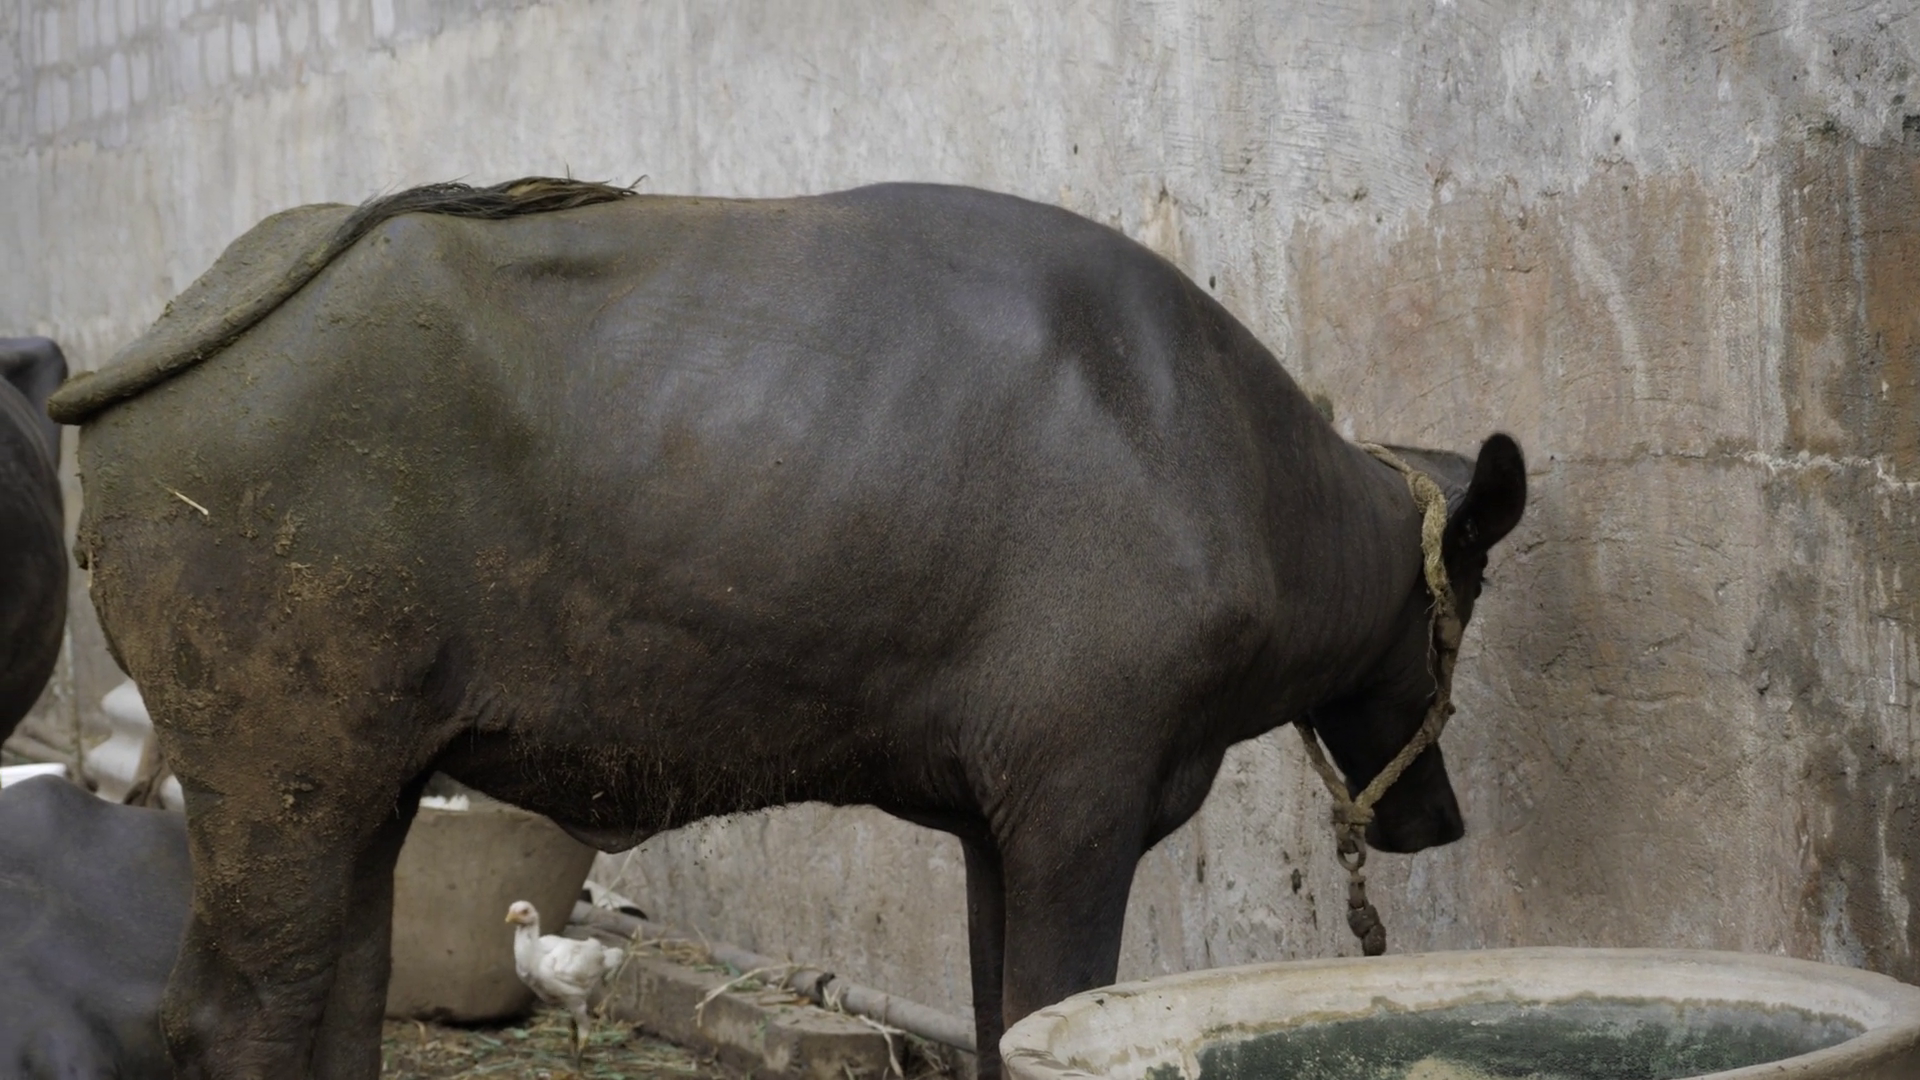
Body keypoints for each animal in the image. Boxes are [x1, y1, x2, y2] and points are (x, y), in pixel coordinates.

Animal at [49, 179, 1527, 1080]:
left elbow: (995, 1020)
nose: (1441, 819)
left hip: (363, 784)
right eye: (1463, 604)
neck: (1230, 469)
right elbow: (1041, 1012)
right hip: (275, 781)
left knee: (341, 993)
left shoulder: (993, 825)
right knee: (231, 1016)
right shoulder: (1078, 807)